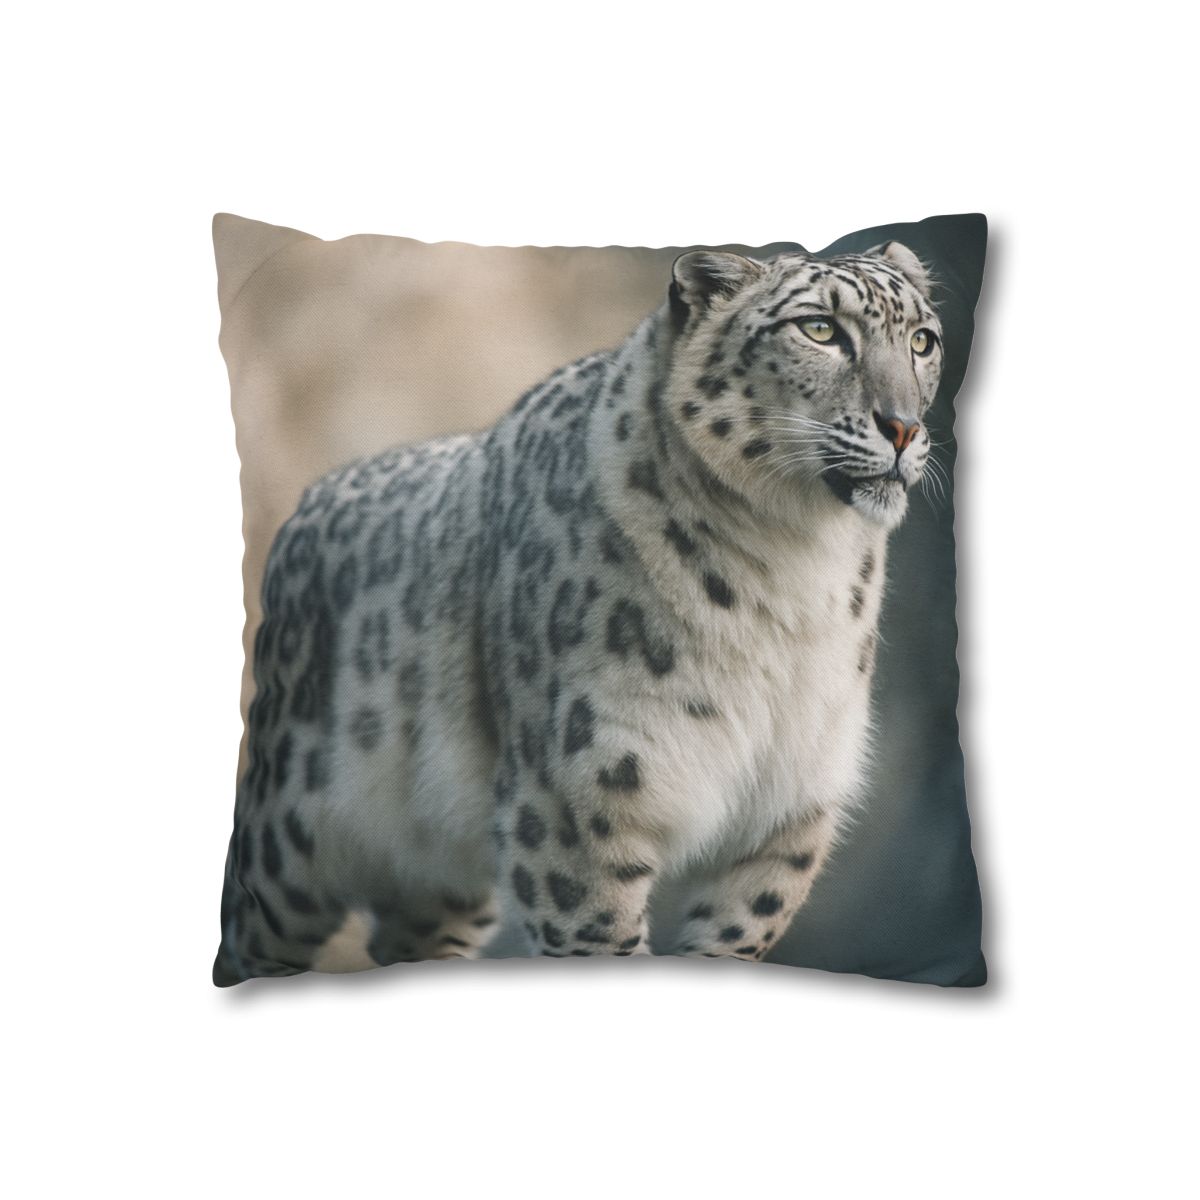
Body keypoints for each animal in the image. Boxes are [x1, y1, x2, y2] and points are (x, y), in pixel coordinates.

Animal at [214, 241, 944, 984]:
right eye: (819, 329)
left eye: (922, 340)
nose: (904, 426)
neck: (796, 567)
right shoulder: (578, 804)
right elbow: (601, 937)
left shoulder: (786, 810)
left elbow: (734, 936)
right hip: (288, 842)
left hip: (441, 877)